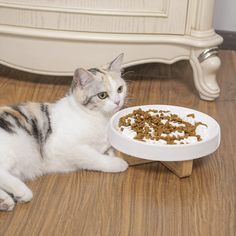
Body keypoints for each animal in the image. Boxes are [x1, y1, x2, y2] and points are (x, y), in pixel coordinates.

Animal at [0, 54, 128, 212]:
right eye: (102, 95)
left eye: (120, 89)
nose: (117, 102)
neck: (100, 118)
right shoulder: (62, 146)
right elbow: (93, 157)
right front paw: (117, 163)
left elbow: (106, 149)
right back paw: (21, 192)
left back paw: (4, 200)